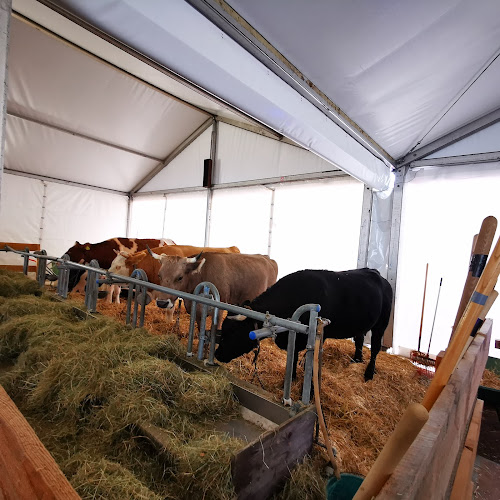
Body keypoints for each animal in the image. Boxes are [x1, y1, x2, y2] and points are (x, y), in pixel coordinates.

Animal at [215, 270, 394, 378]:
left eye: (233, 332)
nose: (217, 354)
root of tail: (374, 272)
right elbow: (293, 357)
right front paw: (291, 377)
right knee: (359, 339)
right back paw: (357, 360)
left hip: (382, 323)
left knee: (375, 347)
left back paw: (369, 373)